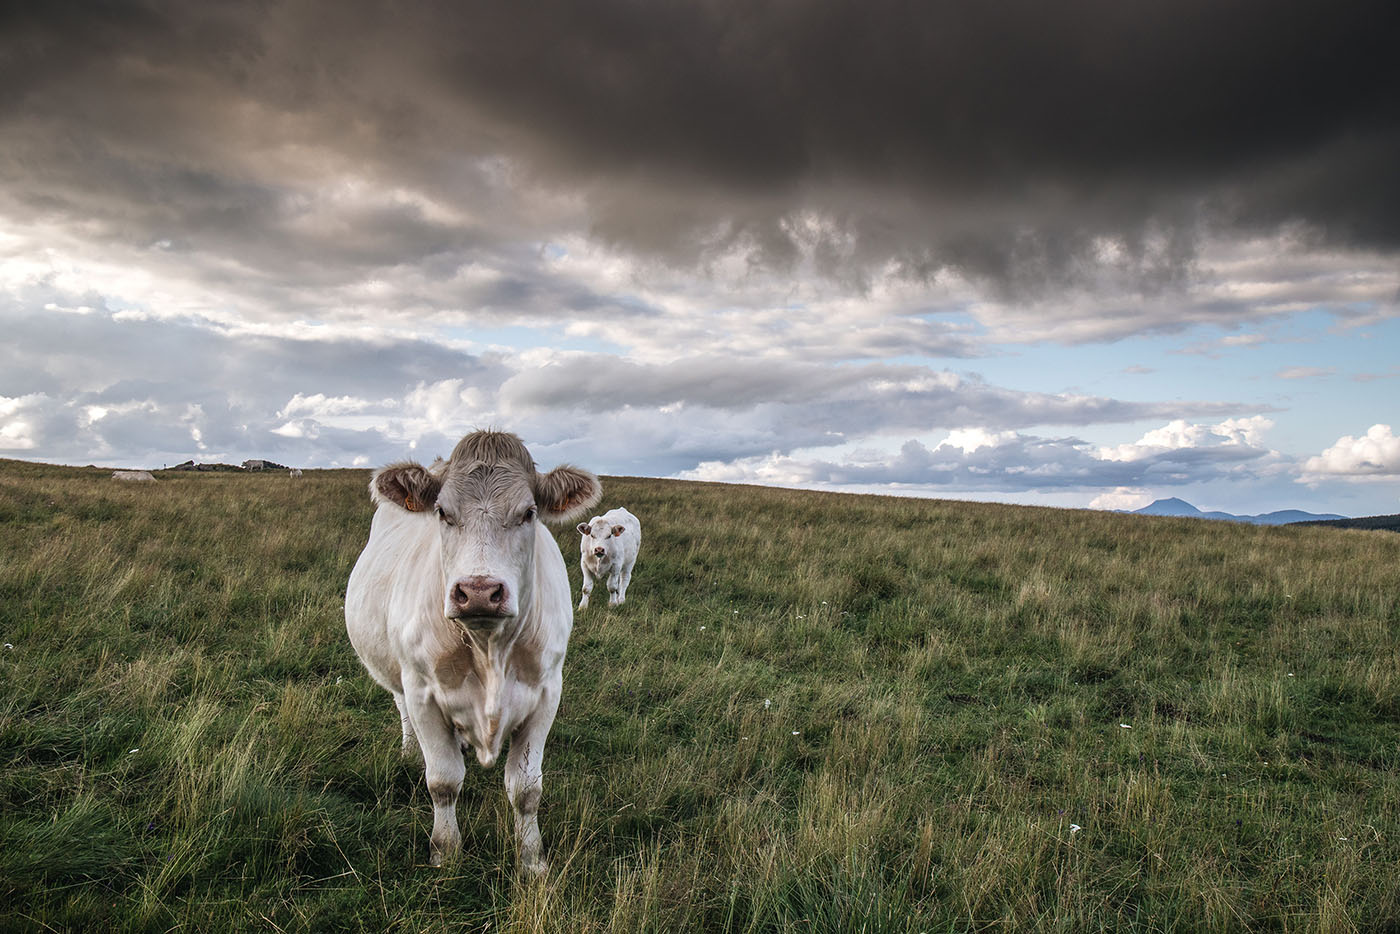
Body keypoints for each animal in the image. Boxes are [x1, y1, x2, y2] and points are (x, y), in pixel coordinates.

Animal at [345, 431, 602, 879]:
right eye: (442, 512)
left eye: (529, 512)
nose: (479, 592)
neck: (489, 649)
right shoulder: (423, 693)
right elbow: (443, 781)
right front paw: (445, 853)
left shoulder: (546, 694)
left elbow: (526, 789)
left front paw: (532, 860)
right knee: (401, 708)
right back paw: (410, 750)